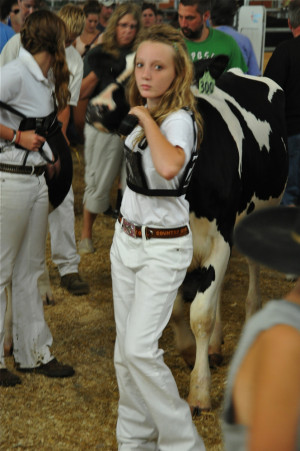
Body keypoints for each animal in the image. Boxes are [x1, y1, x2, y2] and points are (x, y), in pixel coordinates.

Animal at [171, 57, 288, 416]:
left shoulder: (221, 238)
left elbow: (201, 314)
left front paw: (200, 391)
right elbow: (179, 308)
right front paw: (189, 350)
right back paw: (215, 345)